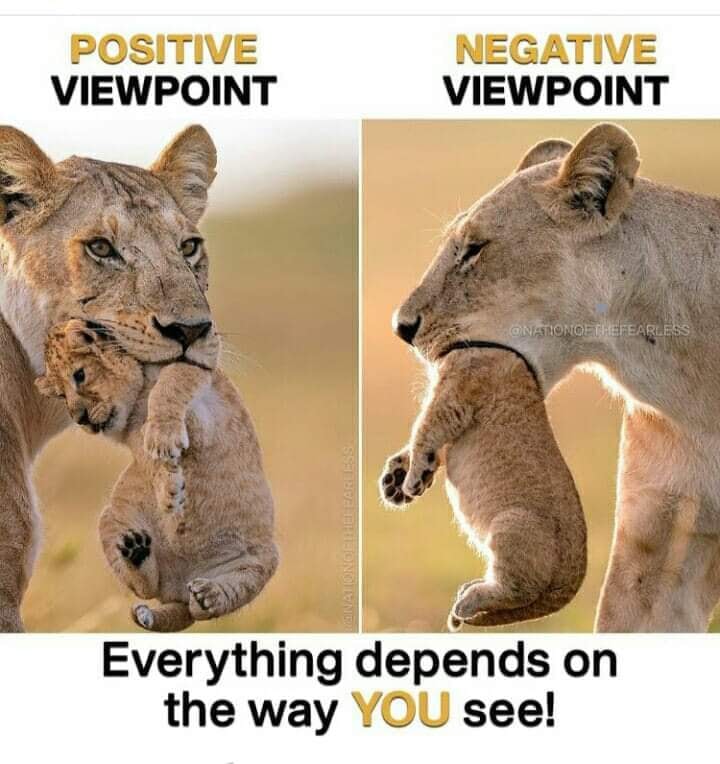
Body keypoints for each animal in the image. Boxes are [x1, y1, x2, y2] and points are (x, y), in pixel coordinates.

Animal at [36, 318, 278, 631]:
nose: (81, 419)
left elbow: (172, 381)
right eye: (59, 395)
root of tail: (179, 589)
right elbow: (151, 461)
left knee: (215, 602)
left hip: (260, 563)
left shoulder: (199, 376)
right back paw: (136, 552)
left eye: (79, 375)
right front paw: (170, 489)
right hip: (109, 520)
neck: (135, 407)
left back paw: (207, 596)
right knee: (147, 589)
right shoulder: (135, 443)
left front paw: (164, 441)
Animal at [380, 346, 586, 629]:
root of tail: (575, 575)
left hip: (511, 524)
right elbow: (429, 447)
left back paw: (466, 602)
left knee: (519, 590)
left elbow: (424, 431)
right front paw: (396, 482)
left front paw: (410, 481)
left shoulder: (455, 397)